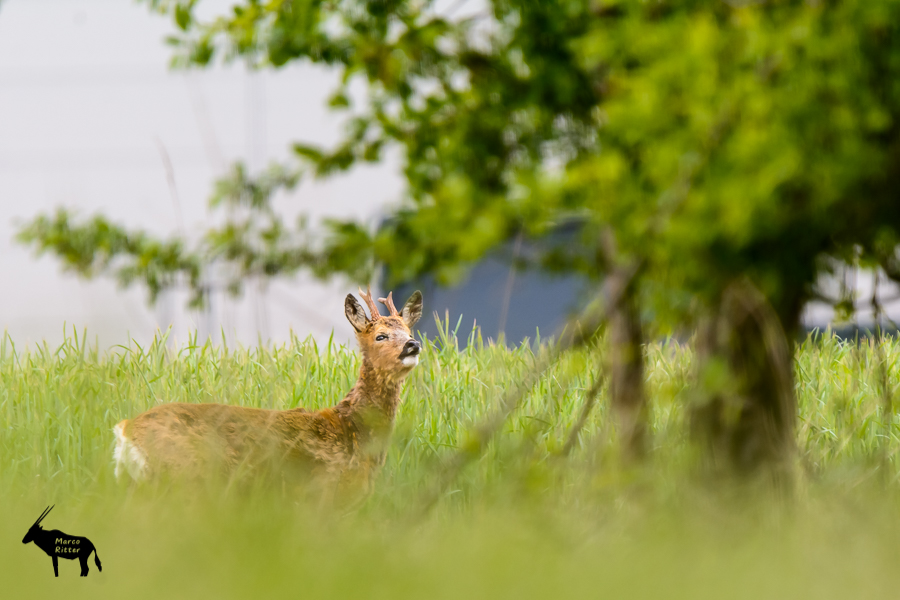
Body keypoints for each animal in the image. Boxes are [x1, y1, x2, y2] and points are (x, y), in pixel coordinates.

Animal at [114, 288, 424, 500]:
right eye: (380, 336)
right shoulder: (323, 494)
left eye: (409, 331)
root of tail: (126, 430)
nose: (413, 345)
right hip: (182, 477)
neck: (352, 427)